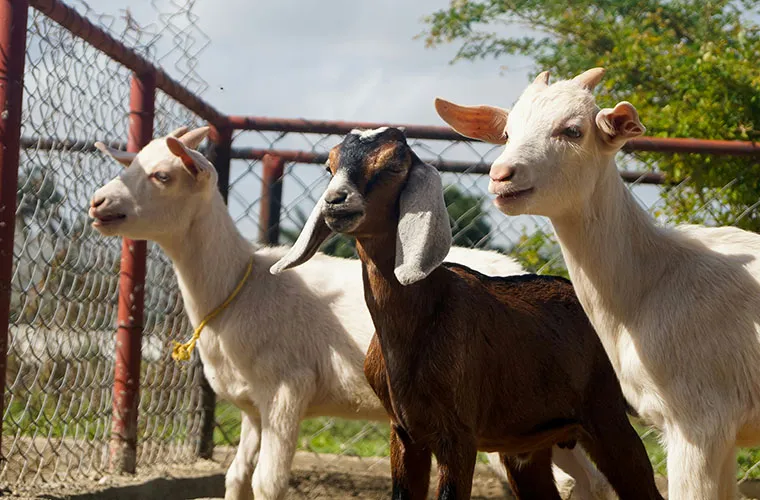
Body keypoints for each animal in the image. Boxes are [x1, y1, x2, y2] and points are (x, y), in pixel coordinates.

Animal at [88, 126, 604, 500]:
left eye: (162, 175)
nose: (97, 203)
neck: (240, 284)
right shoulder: (253, 408)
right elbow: (236, 479)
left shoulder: (287, 388)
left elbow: (267, 483)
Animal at [271, 126, 662, 500]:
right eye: (330, 166)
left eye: (393, 165)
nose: (335, 202)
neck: (425, 315)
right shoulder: (404, 433)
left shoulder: (458, 436)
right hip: (528, 446)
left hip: (607, 416)